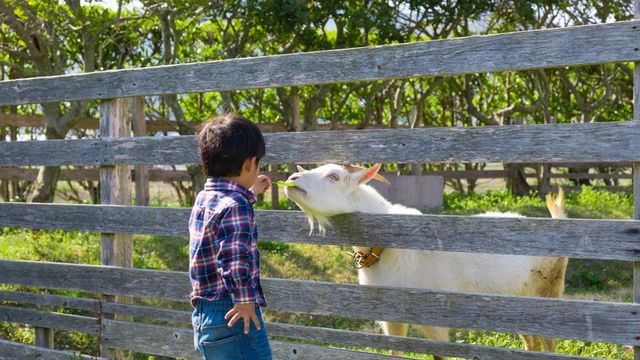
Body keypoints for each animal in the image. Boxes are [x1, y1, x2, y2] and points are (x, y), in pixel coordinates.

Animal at [282, 163, 568, 358]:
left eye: (334, 176)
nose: (291, 179)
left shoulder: (435, 319)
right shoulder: (392, 317)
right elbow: (395, 353)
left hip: (547, 294)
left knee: (549, 344)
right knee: (531, 342)